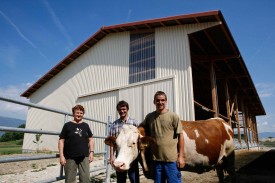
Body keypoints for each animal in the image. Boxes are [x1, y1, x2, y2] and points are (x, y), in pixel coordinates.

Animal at [104, 118, 236, 182]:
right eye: (116, 144)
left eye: (133, 143)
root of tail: (222, 121)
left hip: (229, 156)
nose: (118, 164)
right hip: (219, 163)